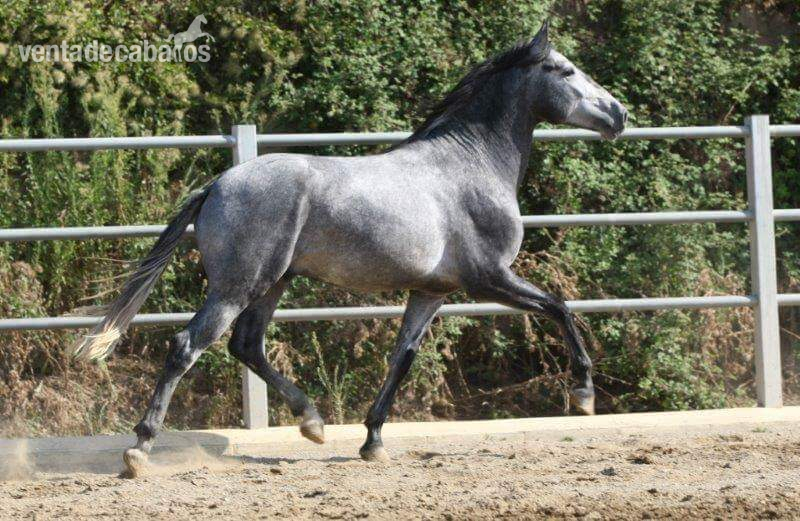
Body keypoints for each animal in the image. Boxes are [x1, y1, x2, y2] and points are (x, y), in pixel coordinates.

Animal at [71, 22, 627, 477]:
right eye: (565, 70)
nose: (618, 114)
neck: (471, 166)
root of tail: (218, 184)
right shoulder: (488, 278)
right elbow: (560, 307)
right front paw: (583, 394)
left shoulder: (432, 292)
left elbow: (401, 359)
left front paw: (372, 442)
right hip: (238, 285)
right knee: (188, 346)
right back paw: (139, 450)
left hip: (274, 283)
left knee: (246, 345)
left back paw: (313, 422)